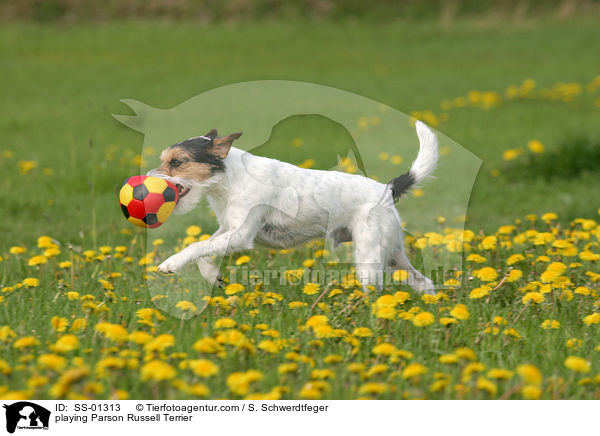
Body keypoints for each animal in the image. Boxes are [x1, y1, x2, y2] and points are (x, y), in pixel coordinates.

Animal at [148, 121, 438, 294]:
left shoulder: (240, 234)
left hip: (370, 260)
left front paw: (171, 263)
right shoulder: (228, 229)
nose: (148, 179)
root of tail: (385, 190)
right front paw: (213, 277)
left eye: (177, 162)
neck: (229, 178)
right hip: (392, 256)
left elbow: (195, 246)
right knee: (424, 281)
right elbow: (204, 250)